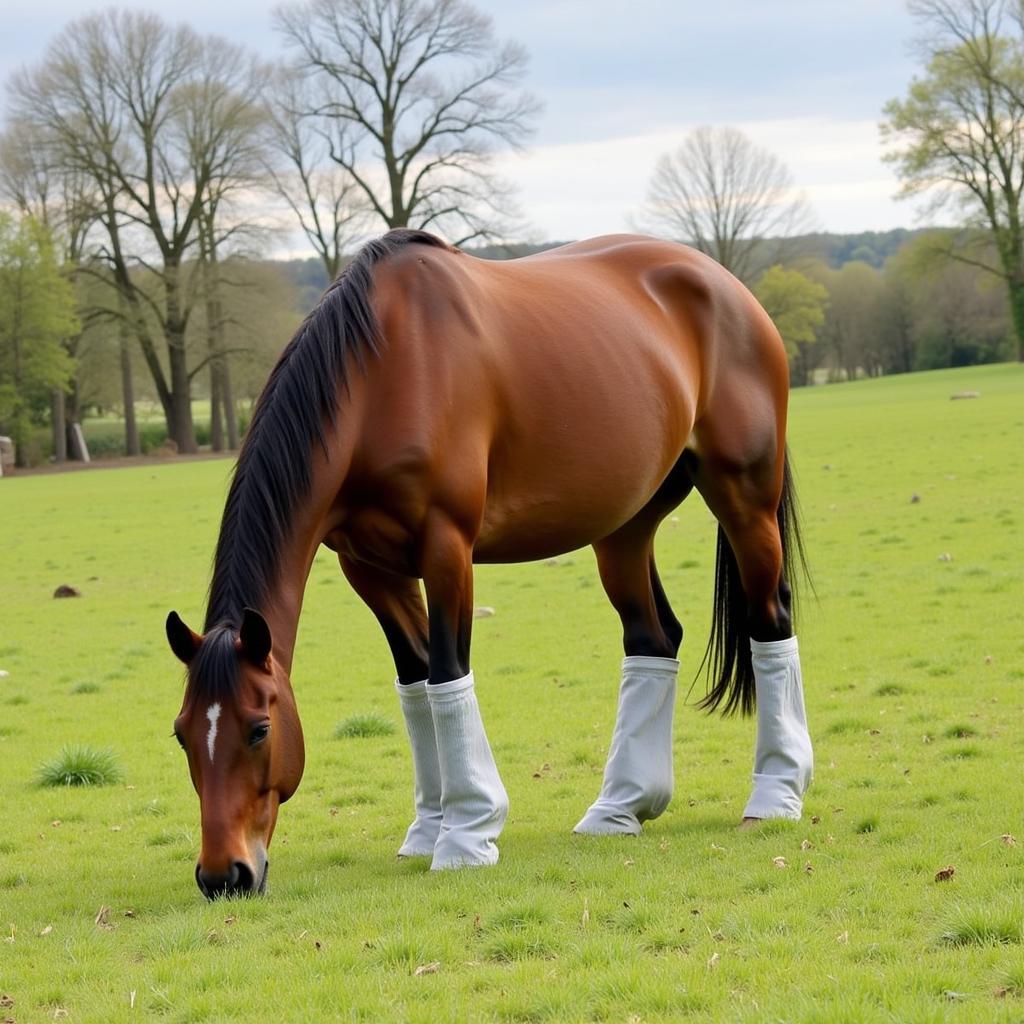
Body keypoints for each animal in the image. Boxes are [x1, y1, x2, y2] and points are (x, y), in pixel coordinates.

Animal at [163, 230, 811, 897]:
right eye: (182, 734)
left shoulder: (447, 547)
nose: (224, 875)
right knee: (654, 638)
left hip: (744, 497)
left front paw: (468, 833)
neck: (384, 370)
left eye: (259, 728)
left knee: (770, 619)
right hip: (625, 527)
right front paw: (430, 828)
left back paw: (775, 796)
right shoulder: (370, 569)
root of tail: (727, 285)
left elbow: (447, 673)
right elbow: (416, 681)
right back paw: (621, 807)